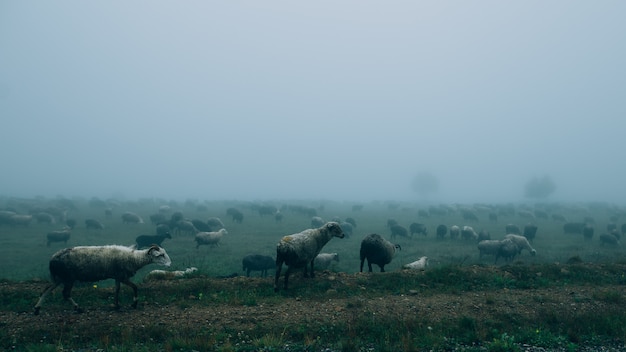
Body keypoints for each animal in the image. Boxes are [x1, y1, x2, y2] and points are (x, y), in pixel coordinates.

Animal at [34, 243, 171, 314]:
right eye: (161, 255)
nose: (170, 264)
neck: (135, 258)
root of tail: (52, 259)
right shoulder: (122, 276)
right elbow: (135, 287)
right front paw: (134, 303)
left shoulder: (117, 276)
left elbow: (117, 290)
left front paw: (116, 305)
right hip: (68, 278)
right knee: (65, 294)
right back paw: (77, 307)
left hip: (59, 278)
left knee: (46, 290)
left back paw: (37, 308)